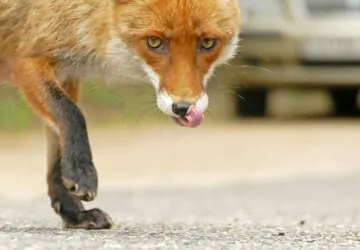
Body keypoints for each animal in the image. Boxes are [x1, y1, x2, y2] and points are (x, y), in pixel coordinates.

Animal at [0, 0, 242, 229]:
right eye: (154, 42)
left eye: (208, 43)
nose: (184, 107)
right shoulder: (27, 60)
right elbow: (71, 114)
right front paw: (82, 172)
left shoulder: (67, 74)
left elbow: (57, 154)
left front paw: (74, 214)